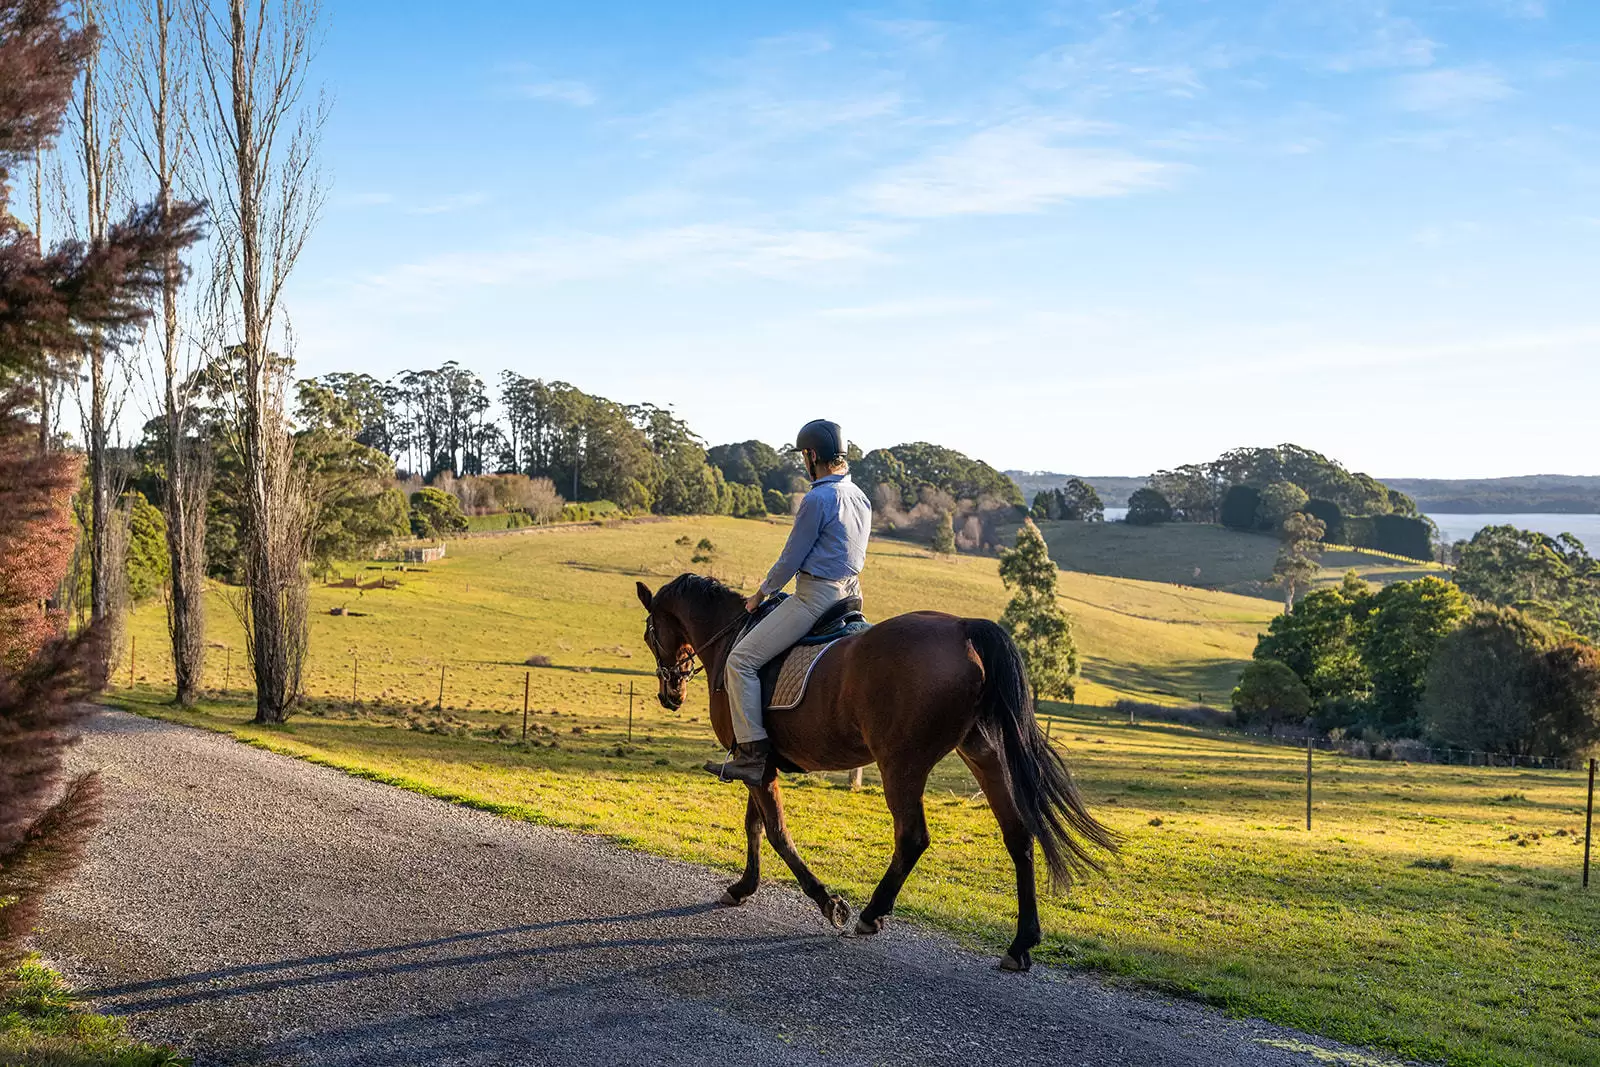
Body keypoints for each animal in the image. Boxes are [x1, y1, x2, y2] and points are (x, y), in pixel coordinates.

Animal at [630, 575, 1120, 979]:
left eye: (650, 633)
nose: (670, 693)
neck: (732, 638)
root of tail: (963, 628)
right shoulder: (755, 761)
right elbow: (755, 826)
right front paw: (743, 887)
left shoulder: (756, 763)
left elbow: (776, 833)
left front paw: (828, 903)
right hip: (984, 754)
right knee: (1018, 835)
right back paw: (1021, 943)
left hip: (901, 763)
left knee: (913, 837)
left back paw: (871, 913)